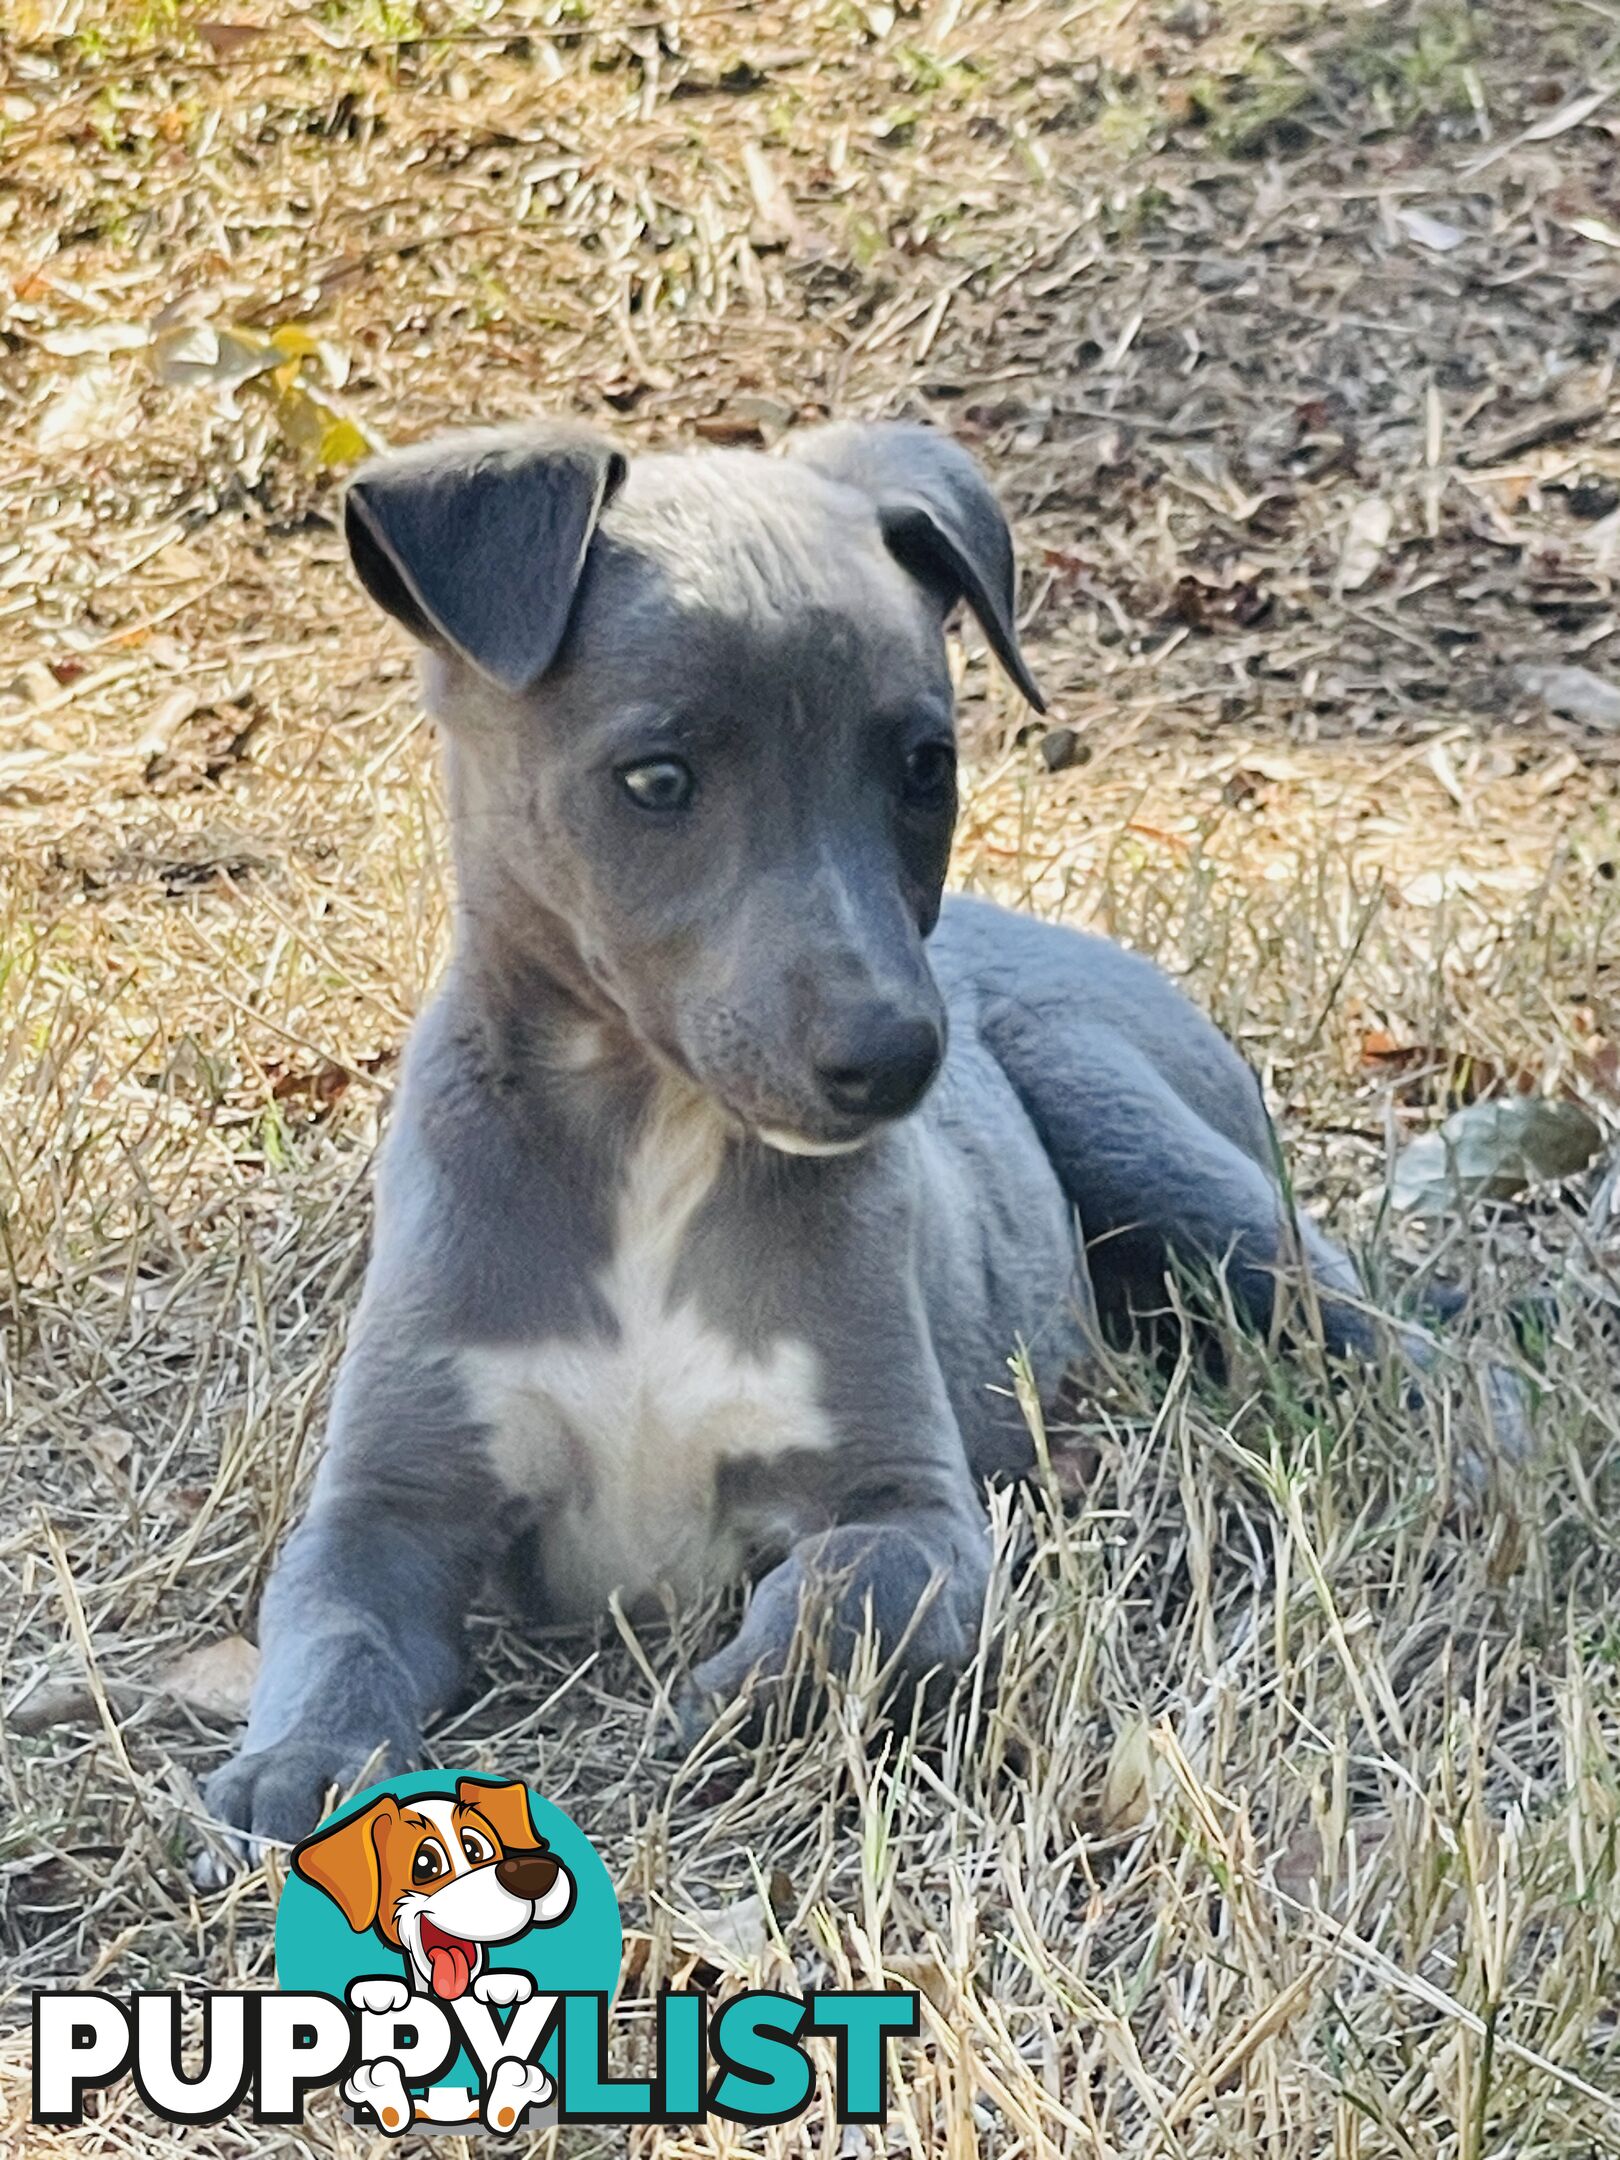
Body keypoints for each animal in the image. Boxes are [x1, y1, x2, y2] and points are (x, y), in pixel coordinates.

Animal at [212, 416, 1494, 1840]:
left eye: (925, 766)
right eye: (656, 778)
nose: (895, 1058)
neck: (654, 1145)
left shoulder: (907, 1506)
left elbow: (850, 1599)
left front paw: (717, 1707)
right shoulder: (387, 1509)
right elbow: (333, 1630)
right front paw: (299, 1769)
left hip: (1148, 1147)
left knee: (1379, 1329)